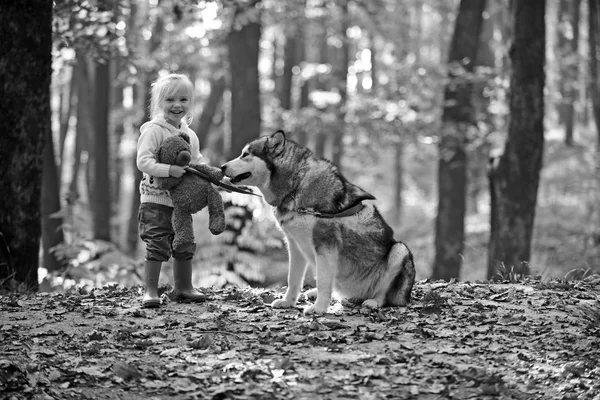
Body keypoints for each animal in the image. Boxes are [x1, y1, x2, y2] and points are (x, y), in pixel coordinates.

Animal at [221, 130, 418, 314]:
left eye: (245, 154)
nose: (222, 167)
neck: (295, 186)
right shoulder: (295, 245)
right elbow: (293, 279)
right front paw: (288, 302)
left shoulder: (325, 246)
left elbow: (323, 281)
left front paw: (319, 309)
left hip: (400, 250)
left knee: (384, 295)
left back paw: (373, 302)